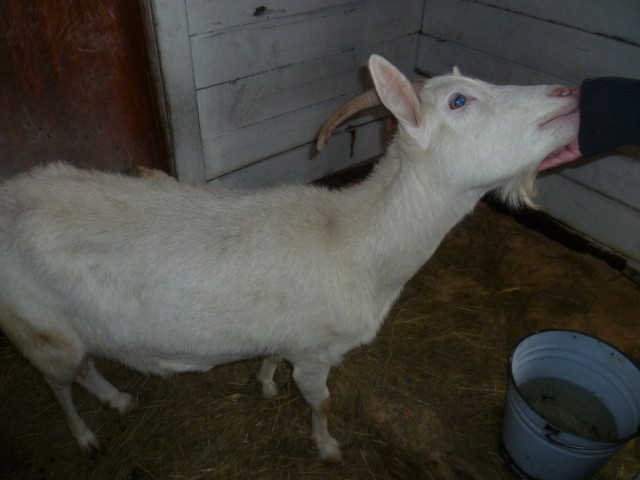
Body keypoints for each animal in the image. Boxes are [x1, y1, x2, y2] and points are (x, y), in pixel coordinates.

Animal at [0, 55, 576, 462]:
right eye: (460, 101)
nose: (569, 94)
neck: (357, 244)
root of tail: (8, 196)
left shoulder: (289, 334)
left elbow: (271, 357)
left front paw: (264, 383)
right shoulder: (317, 349)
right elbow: (321, 402)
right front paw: (327, 448)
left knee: (84, 366)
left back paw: (118, 400)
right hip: (38, 327)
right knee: (58, 383)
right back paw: (86, 437)